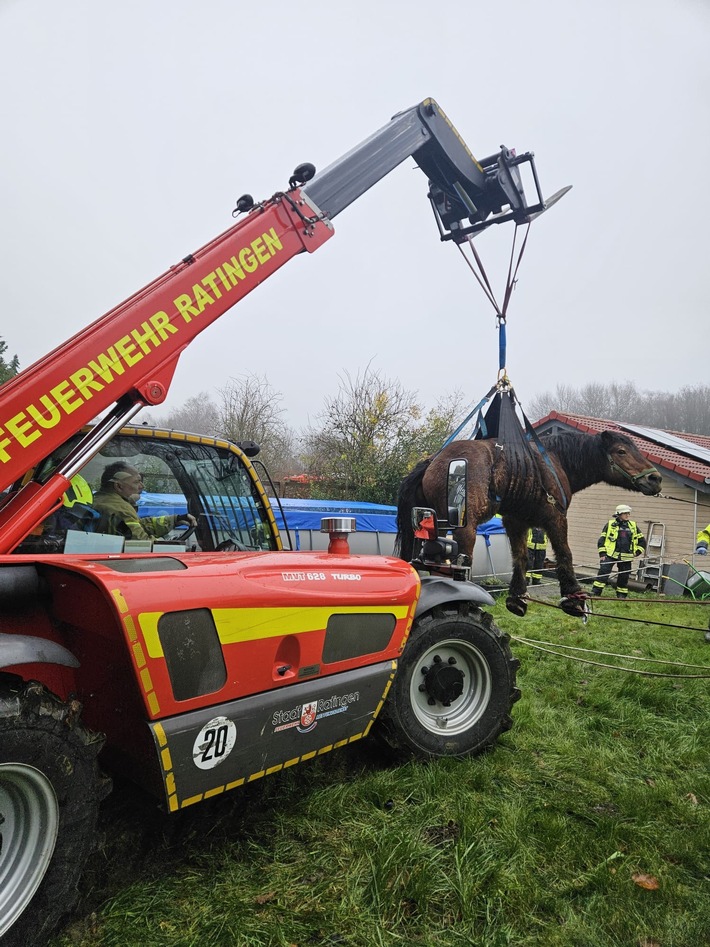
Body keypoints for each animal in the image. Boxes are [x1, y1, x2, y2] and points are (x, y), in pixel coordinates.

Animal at [398, 426, 664, 620]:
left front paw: (517, 597)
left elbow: (521, 556)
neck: (554, 462)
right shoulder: (555, 517)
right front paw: (573, 598)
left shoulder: (517, 520)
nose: (656, 478)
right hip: (464, 525)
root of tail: (432, 461)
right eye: (621, 451)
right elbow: (564, 553)